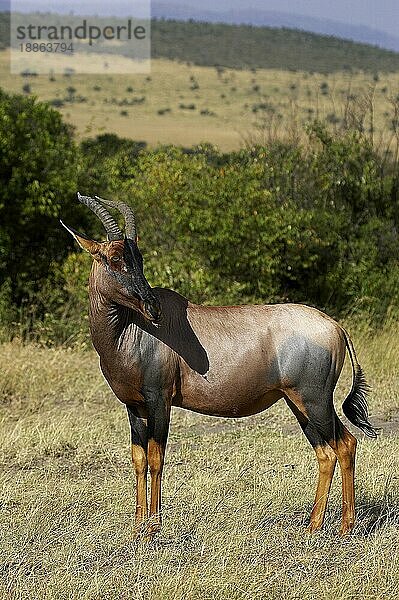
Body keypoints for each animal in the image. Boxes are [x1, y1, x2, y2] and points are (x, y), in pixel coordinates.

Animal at [62, 193, 378, 540]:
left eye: (138, 258)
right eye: (115, 257)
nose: (153, 309)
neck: (132, 328)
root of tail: (335, 326)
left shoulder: (160, 400)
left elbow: (157, 457)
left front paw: (154, 527)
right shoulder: (134, 406)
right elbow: (139, 458)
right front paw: (137, 527)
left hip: (315, 400)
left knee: (345, 445)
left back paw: (344, 527)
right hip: (298, 404)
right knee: (326, 452)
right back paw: (315, 526)